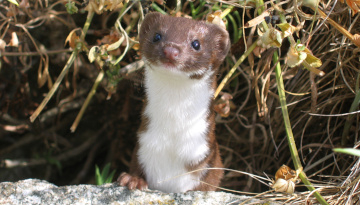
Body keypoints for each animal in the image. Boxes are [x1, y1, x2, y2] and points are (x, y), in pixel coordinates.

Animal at [118, 12, 231, 192]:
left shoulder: (208, 159)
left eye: (196, 43)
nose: (171, 50)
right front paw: (132, 180)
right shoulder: (142, 146)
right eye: (157, 36)